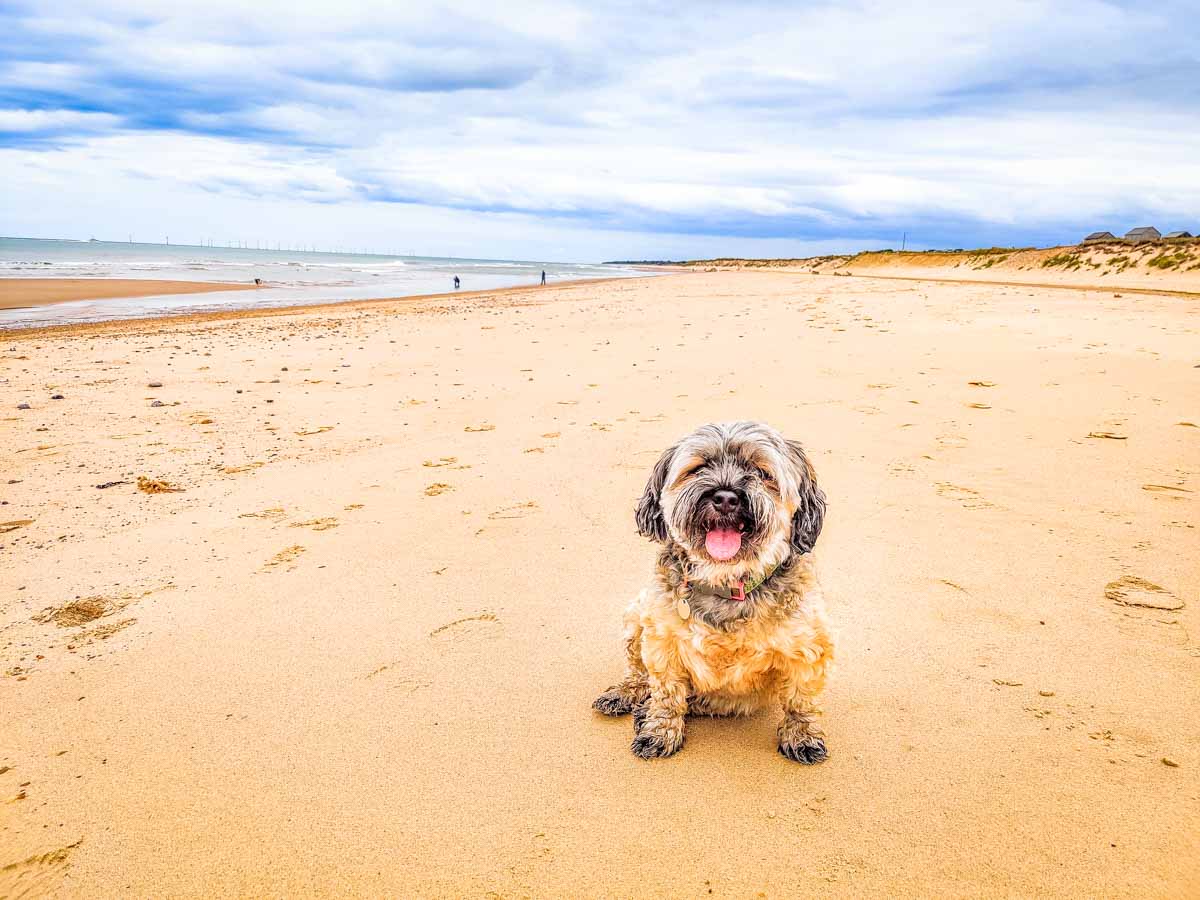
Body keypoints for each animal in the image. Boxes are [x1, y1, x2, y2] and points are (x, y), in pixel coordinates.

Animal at [592, 422, 835, 763]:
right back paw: (626, 694)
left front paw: (802, 737)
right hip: (635, 616)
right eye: (699, 468)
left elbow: (801, 700)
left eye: (761, 472)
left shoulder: (808, 648)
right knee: (639, 674)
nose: (725, 498)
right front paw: (659, 732)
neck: (726, 582)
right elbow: (666, 694)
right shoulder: (662, 643)